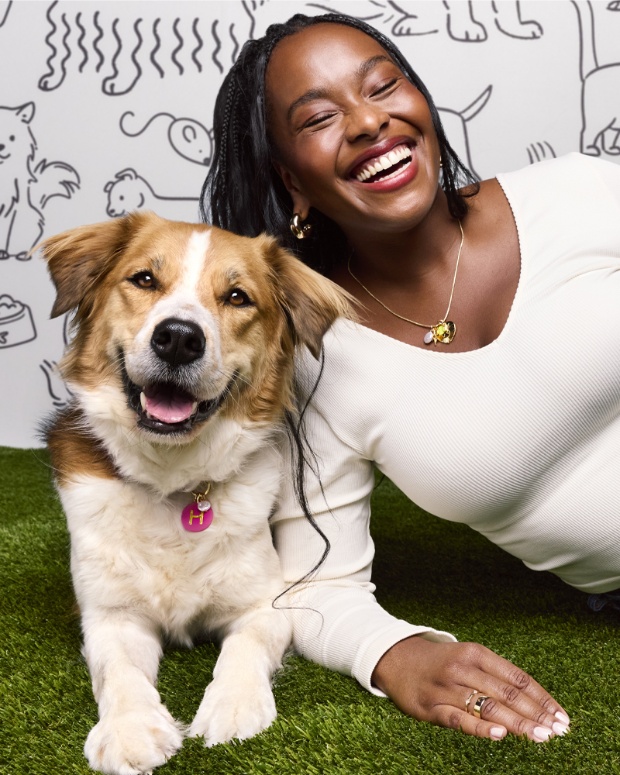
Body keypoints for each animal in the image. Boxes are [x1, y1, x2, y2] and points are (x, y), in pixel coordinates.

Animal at [41, 211, 352, 775]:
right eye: (144, 279)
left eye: (236, 297)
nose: (179, 338)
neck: (175, 480)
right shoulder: (111, 617)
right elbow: (119, 671)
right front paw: (130, 730)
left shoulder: (265, 606)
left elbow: (244, 649)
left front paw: (234, 708)